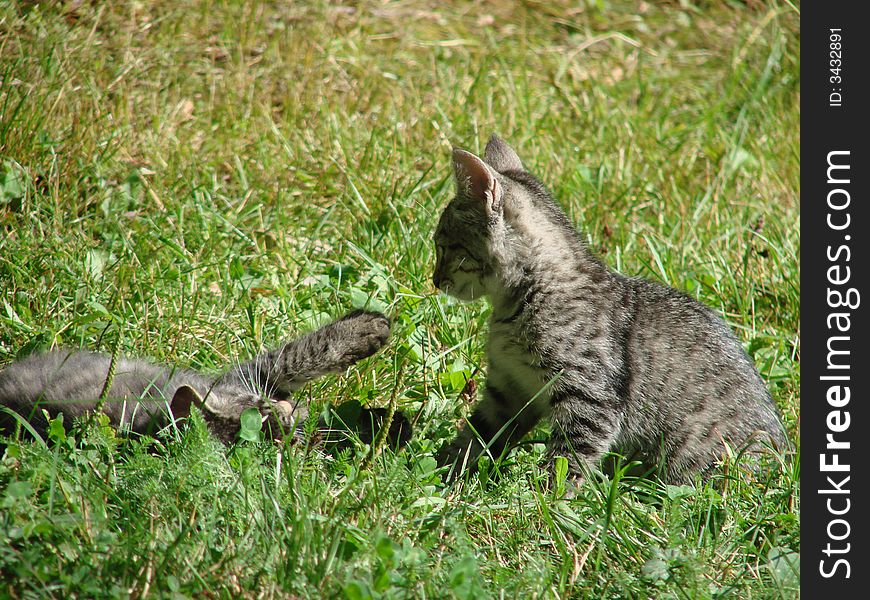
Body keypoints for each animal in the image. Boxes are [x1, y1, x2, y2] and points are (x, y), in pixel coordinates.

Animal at [0, 312, 412, 448]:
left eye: (264, 405)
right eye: (270, 430)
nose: (288, 411)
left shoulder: (249, 377)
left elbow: (295, 357)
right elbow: (298, 356)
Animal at [436, 135, 792, 482]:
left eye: (443, 246)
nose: (435, 280)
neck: (520, 301)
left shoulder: (589, 398)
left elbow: (566, 462)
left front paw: (542, 498)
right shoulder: (508, 390)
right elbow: (475, 436)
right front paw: (441, 472)